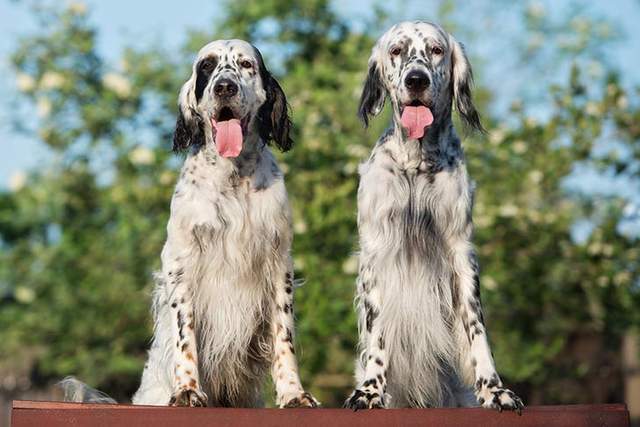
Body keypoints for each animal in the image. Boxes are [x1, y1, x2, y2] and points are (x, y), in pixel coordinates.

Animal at [62, 41, 318, 412]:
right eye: (207, 66)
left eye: (245, 64)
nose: (224, 87)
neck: (232, 177)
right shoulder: (180, 263)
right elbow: (186, 336)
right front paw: (186, 391)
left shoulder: (278, 263)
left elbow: (285, 337)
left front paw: (293, 394)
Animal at [344, 21, 524, 412]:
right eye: (397, 50)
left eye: (436, 50)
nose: (416, 80)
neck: (417, 164)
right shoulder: (376, 254)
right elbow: (378, 332)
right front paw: (371, 390)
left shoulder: (461, 252)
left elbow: (476, 327)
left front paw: (494, 389)